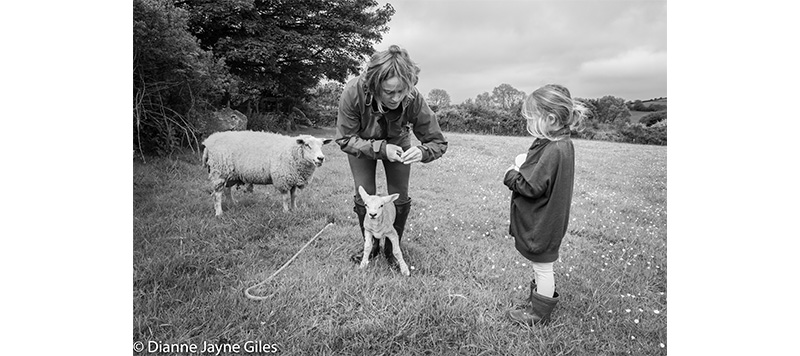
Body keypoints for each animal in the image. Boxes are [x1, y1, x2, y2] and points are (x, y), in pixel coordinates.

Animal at [205, 130, 336, 216]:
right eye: (307, 145)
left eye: (322, 145)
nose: (321, 158)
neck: (292, 151)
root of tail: (209, 140)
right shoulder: (283, 178)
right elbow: (285, 198)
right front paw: (286, 211)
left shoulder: (293, 178)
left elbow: (294, 196)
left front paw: (295, 209)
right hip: (219, 171)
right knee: (217, 194)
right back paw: (219, 213)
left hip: (230, 174)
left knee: (227, 191)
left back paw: (232, 204)